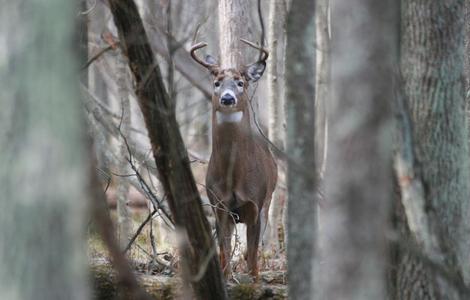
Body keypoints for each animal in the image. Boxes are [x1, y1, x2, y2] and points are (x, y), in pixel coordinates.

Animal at [190, 39, 278, 278]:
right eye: (217, 83)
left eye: (240, 82)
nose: (227, 98)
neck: (235, 177)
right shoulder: (218, 206)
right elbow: (225, 254)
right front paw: (227, 277)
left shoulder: (256, 203)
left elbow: (253, 259)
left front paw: (254, 279)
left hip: (268, 201)